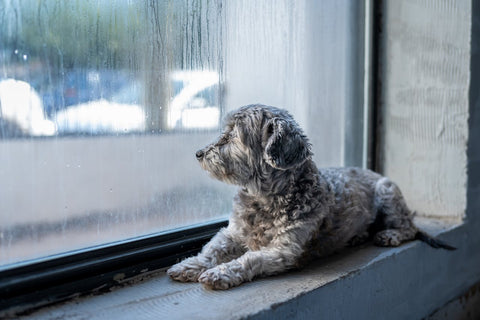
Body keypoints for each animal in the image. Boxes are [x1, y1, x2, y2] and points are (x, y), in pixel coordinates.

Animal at [167, 104, 456, 288]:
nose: (198, 153)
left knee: (408, 227)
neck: (265, 199)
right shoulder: (232, 233)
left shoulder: (284, 251)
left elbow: (248, 259)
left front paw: (221, 273)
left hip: (388, 191)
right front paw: (190, 266)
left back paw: (390, 235)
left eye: (232, 136)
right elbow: (211, 250)